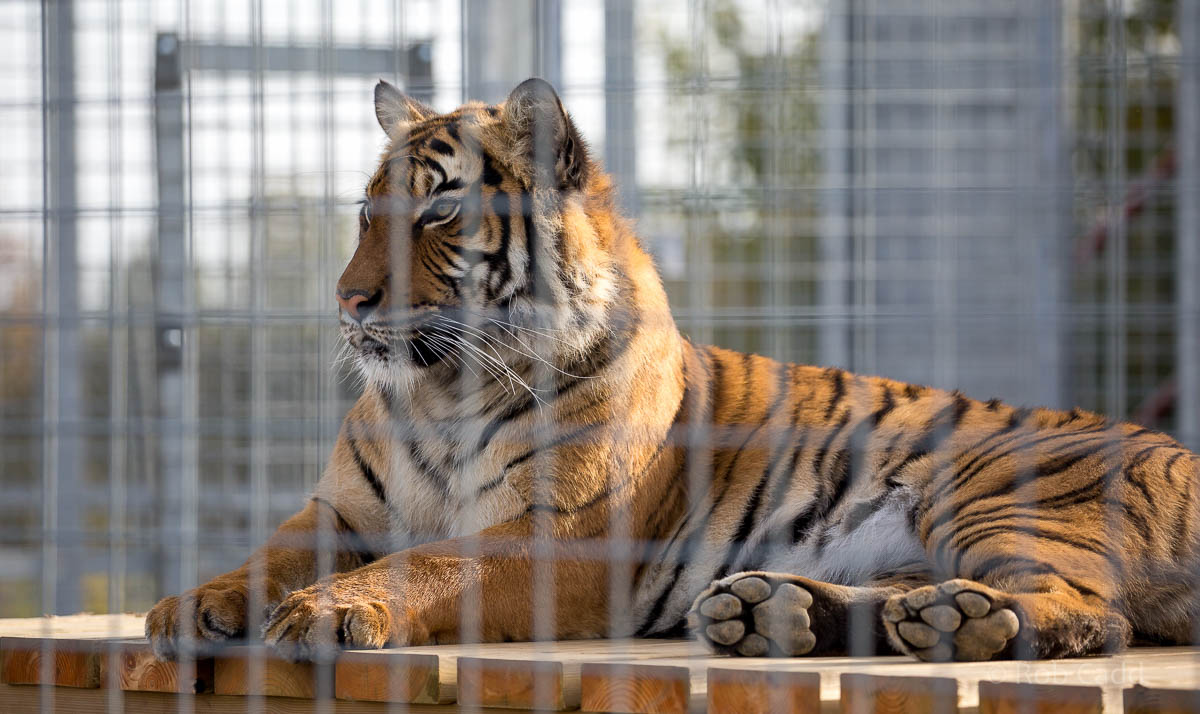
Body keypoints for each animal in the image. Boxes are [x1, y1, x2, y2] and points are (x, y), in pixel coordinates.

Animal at [146, 77, 1200, 663]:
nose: (349, 302)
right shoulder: (337, 513)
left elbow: (433, 561)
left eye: (438, 213)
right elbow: (265, 555)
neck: (443, 391)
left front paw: (331, 611)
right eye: (368, 215)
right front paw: (188, 606)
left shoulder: (555, 537)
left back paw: (950, 622)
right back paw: (777, 612)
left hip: (993, 491)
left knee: (1094, 614)